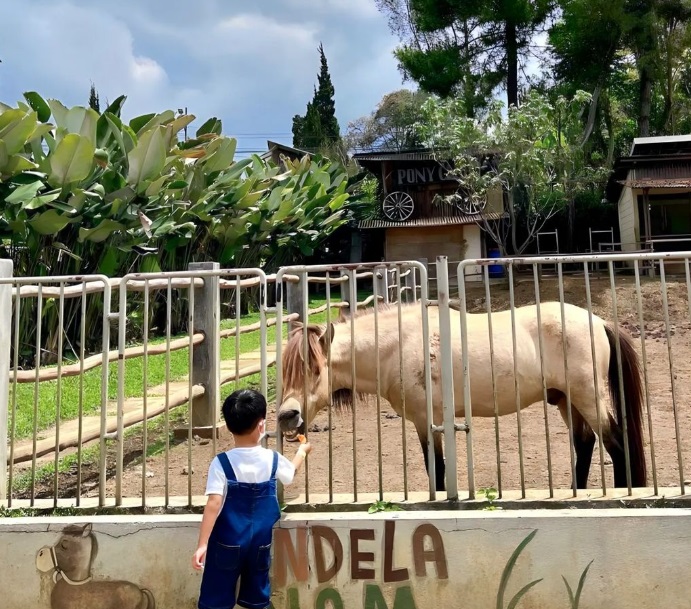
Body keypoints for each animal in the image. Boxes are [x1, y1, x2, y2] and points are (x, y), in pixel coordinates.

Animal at [278, 302, 648, 492]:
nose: (287, 416)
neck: (400, 344)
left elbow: (438, 471)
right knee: (585, 444)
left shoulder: (429, 421)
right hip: (566, 401)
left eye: (315, 370)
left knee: (616, 443)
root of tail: (598, 321)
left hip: (588, 397)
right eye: (286, 371)